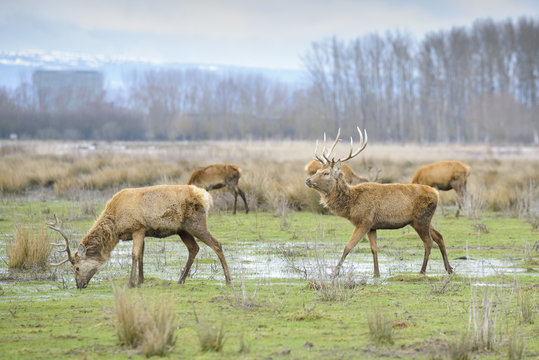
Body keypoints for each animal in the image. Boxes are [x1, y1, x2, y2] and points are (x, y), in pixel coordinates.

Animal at [47, 184, 231, 288]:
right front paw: (141, 281)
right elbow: (141, 255)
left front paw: (131, 283)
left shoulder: (138, 228)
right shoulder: (142, 232)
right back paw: (181, 280)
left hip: (196, 223)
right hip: (182, 229)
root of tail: (207, 197)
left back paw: (228, 280)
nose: (79, 285)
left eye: (76, 267)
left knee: (217, 244)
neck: (116, 226)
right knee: (194, 248)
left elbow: (135, 254)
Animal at [306, 128, 454, 278]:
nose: (308, 180)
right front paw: (376, 273)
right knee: (439, 236)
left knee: (428, 242)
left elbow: (348, 246)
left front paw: (334, 273)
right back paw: (449, 269)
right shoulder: (373, 226)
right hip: (423, 220)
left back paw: (422, 271)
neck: (352, 204)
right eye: (317, 170)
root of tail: (436, 193)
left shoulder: (364, 221)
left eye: (326, 173)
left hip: (421, 219)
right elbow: (374, 249)